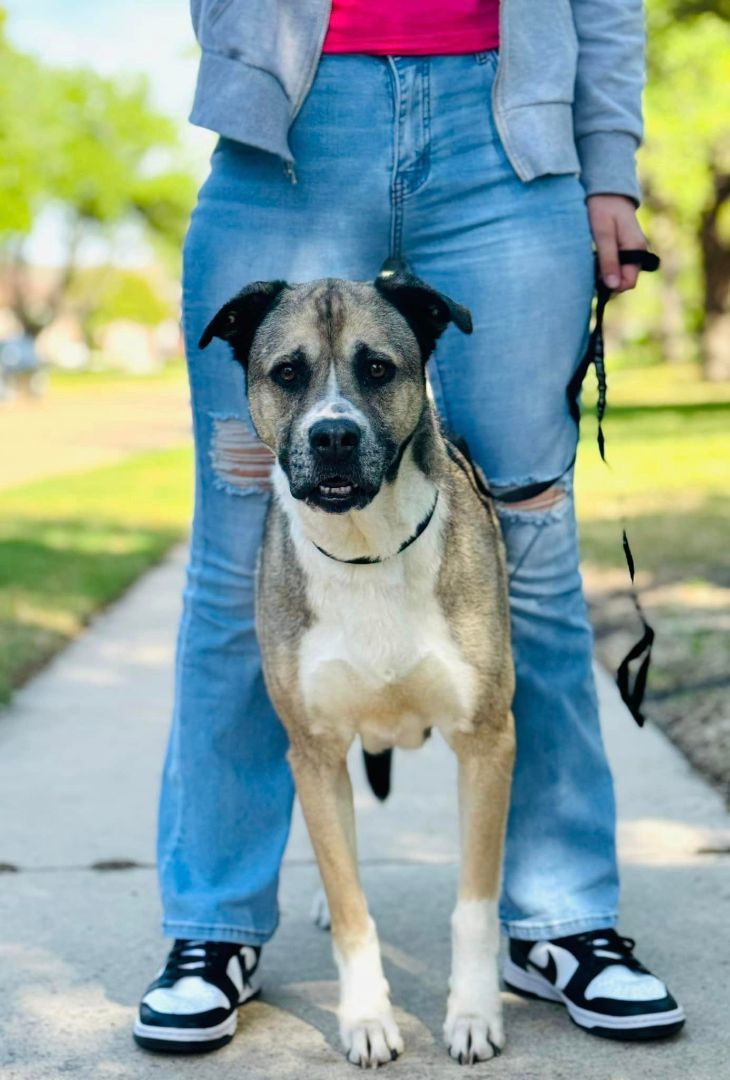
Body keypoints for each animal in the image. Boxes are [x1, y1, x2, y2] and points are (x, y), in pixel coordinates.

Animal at [200, 263, 514, 1071]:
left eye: (378, 369)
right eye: (286, 373)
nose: (334, 435)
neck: (368, 549)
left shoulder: (486, 739)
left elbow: (474, 904)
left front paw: (472, 1013)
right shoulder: (312, 751)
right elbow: (351, 906)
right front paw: (367, 1017)